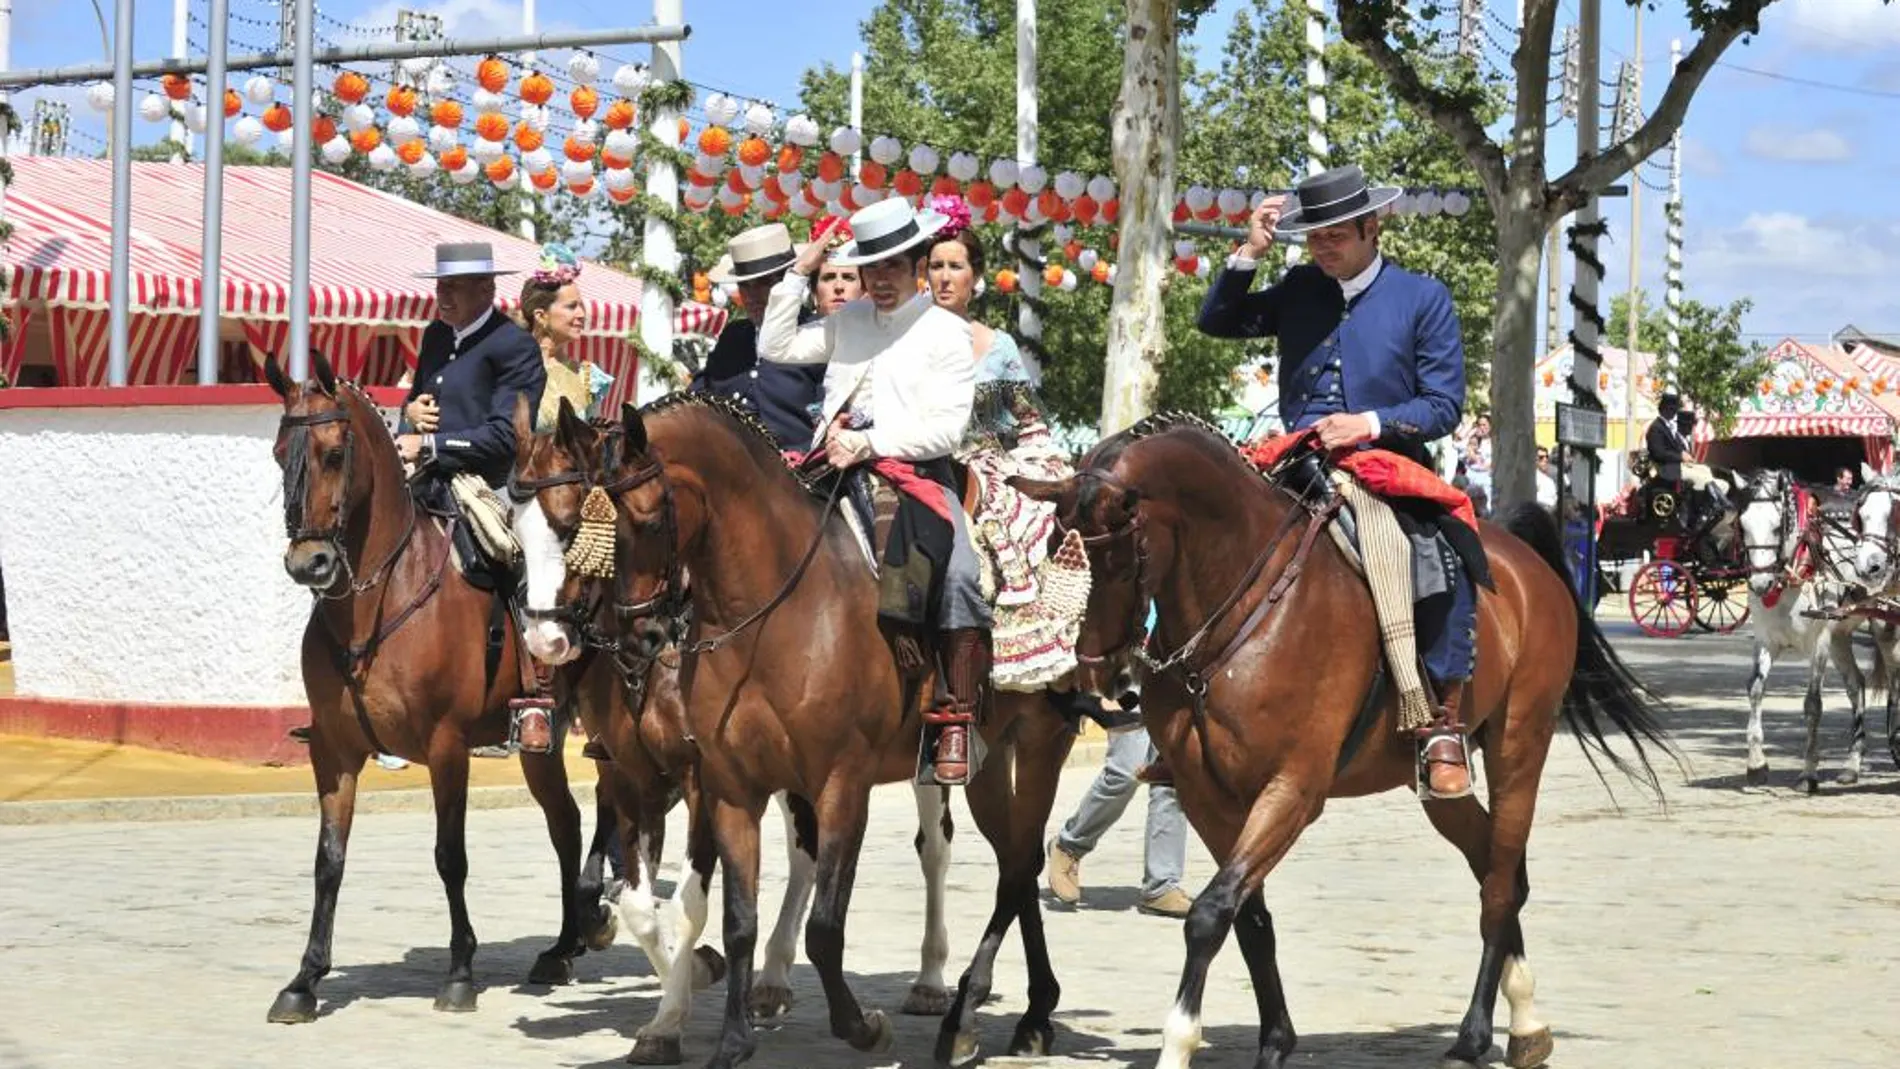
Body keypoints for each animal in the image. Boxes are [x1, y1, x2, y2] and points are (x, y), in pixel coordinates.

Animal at [262, 355, 608, 1025]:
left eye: (336, 452)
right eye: (278, 452)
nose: (309, 564)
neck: (379, 598)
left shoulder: (447, 747)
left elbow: (451, 856)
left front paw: (460, 971)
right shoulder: (334, 752)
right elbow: (328, 860)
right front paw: (304, 978)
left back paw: (597, 912)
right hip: (542, 741)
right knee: (566, 822)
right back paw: (562, 946)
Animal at [608, 394, 1086, 1069]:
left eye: (649, 521)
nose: (638, 637)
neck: (774, 612)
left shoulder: (841, 786)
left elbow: (825, 928)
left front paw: (862, 1028)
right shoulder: (731, 789)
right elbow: (739, 921)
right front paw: (732, 1042)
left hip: (1040, 742)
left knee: (1013, 864)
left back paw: (975, 1012)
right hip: (988, 763)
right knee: (1016, 860)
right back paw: (1028, 1013)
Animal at [1018, 415, 1672, 1069]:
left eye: (1120, 560)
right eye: (1052, 552)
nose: (1093, 677)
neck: (1243, 604)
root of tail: (1524, 562)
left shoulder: (1291, 792)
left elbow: (1210, 913)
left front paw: (1179, 1041)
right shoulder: (1208, 799)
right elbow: (1248, 917)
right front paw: (1275, 1043)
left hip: (1520, 748)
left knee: (1499, 885)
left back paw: (1474, 1036)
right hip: (1439, 788)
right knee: (1494, 867)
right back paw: (1526, 1022)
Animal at [1740, 470, 1869, 793]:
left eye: (1777, 527)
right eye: (1743, 525)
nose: (1760, 584)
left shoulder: (1819, 641)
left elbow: (1813, 704)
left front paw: (1808, 773)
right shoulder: (1766, 640)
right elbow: (1755, 689)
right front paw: (1756, 764)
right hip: (1840, 635)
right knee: (1856, 685)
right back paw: (1851, 766)